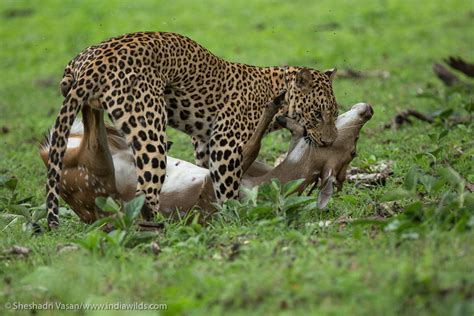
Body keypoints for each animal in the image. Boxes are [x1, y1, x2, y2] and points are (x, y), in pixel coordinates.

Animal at [39, 95, 374, 223]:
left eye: (353, 152)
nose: (368, 109)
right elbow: (254, 148)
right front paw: (288, 116)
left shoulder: (223, 193)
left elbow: (251, 148)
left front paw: (277, 104)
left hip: (95, 170)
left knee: (90, 123)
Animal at [46, 31, 338, 227]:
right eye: (317, 113)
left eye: (334, 114)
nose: (330, 142)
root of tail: (96, 59)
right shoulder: (226, 142)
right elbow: (227, 186)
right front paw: (234, 215)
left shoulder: (204, 142)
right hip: (150, 130)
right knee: (146, 192)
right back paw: (161, 228)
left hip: (74, 90)